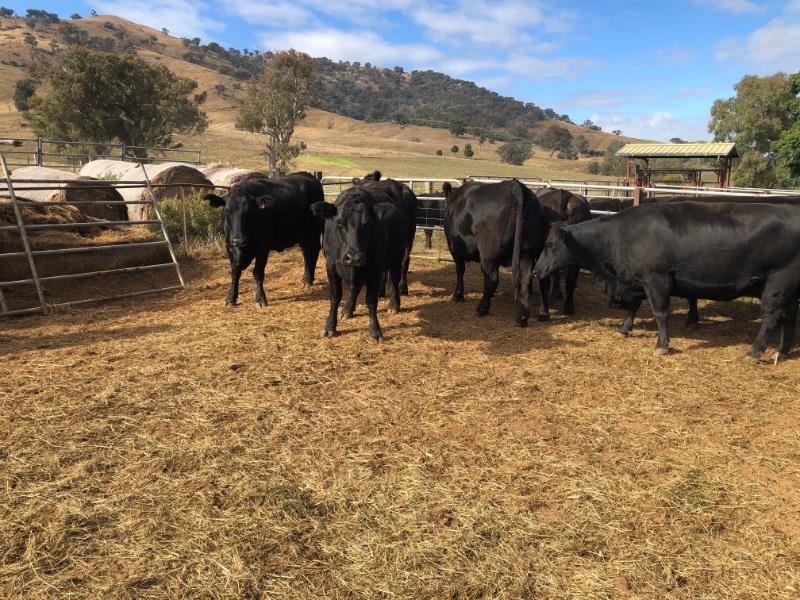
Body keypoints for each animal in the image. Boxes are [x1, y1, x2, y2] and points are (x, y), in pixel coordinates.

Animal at [204, 172, 323, 307]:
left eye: (249, 212)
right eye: (227, 211)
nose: (239, 240)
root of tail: (307, 175)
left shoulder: (263, 248)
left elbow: (258, 272)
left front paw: (261, 298)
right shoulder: (229, 245)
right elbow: (235, 271)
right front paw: (231, 298)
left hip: (314, 230)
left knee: (313, 251)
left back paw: (309, 280)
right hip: (302, 234)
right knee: (306, 254)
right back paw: (305, 278)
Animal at [312, 186, 409, 340]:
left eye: (368, 224)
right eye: (340, 223)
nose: (355, 257)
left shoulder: (375, 269)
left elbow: (371, 300)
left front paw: (375, 330)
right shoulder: (331, 266)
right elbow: (335, 296)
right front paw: (330, 326)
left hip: (397, 257)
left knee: (394, 280)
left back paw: (394, 305)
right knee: (355, 287)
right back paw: (347, 310)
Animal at [443, 179, 544, 327]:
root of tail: (513, 185)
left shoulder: (455, 248)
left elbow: (460, 270)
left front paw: (458, 295)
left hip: (488, 254)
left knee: (493, 278)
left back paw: (482, 308)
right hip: (526, 254)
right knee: (525, 280)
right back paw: (521, 318)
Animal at [533, 202, 800, 360]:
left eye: (550, 244)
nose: (536, 270)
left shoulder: (656, 280)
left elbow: (660, 313)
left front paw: (662, 344)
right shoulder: (638, 280)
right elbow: (633, 307)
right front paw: (623, 329)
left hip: (777, 285)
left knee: (772, 317)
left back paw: (755, 351)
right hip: (790, 290)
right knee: (789, 318)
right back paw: (782, 351)